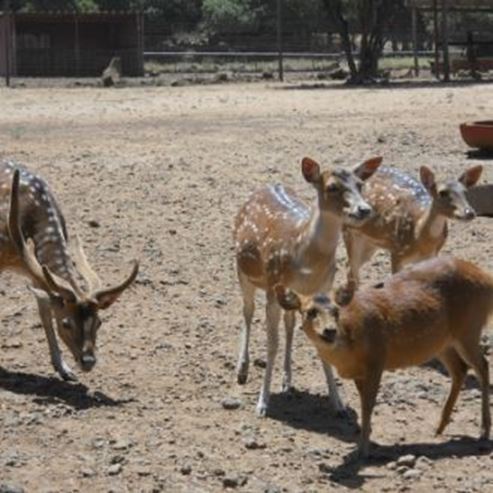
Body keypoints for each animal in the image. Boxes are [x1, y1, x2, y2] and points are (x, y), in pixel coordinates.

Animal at [1, 161, 138, 380]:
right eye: (66, 323)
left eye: (99, 322)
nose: (88, 361)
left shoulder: (38, 272)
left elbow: (44, 310)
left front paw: (63, 369)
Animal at [233, 155, 382, 416]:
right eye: (332, 187)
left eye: (360, 184)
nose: (364, 209)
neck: (306, 258)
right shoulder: (273, 285)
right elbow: (272, 344)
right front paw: (262, 403)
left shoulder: (322, 290)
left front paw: (338, 403)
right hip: (242, 271)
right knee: (247, 311)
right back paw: (242, 370)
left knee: (290, 322)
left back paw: (287, 381)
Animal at [276, 254, 492, 458]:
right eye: (309, 311)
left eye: (336, 311)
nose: (330, 331)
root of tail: (486, 277)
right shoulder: (359, 372)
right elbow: (364, 402)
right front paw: (365, 440)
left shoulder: (376, 360)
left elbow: (368, 404)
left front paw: (363, 450)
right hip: (443, 341)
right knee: (460, 369)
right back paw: (439, 427)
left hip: (469, 328)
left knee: (482, 365)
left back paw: (483, 431)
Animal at [342, 163, 480, 294]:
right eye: (442, 192)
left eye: (465, 192)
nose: (469, 212)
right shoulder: (397, 251)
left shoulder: (432, 255)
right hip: (348, 231)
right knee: (351, 269)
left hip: (369, 243)